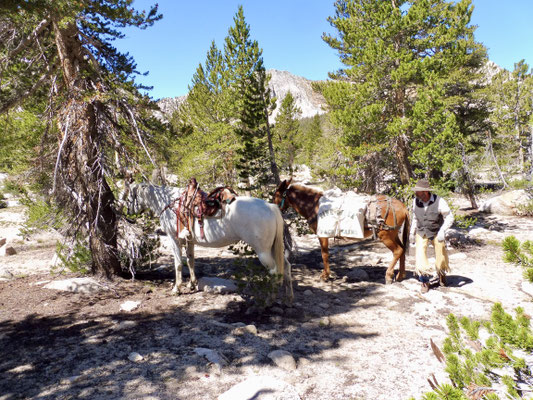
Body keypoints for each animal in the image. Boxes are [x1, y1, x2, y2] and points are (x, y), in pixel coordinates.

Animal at [272, 178, 410, 284]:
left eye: (275, 195)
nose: (273, 207)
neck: (314, 205)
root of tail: (403, 207)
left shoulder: (322, 235)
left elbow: (324, 254)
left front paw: (325, 276)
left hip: (386, 236)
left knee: (398, 251)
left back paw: (389, 275)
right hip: (393, 234)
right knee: (403, 250)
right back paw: (400, 275)